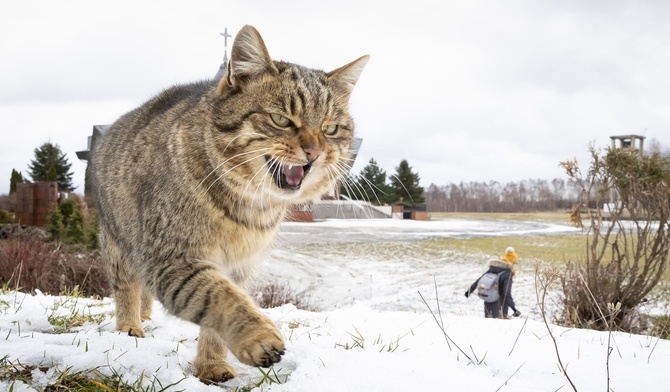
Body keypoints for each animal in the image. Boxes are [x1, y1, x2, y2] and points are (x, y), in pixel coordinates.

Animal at [89, 24, 368, 382]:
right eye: (280, 119)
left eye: (331, 128)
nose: (315, 152)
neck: (249, 204)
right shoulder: (173, 256)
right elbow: (219, 297)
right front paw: (258, 337)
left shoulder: (238, 266)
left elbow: (220, 315)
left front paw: (212, 365)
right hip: (119, 244)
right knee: (127, 287)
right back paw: (129, 327)